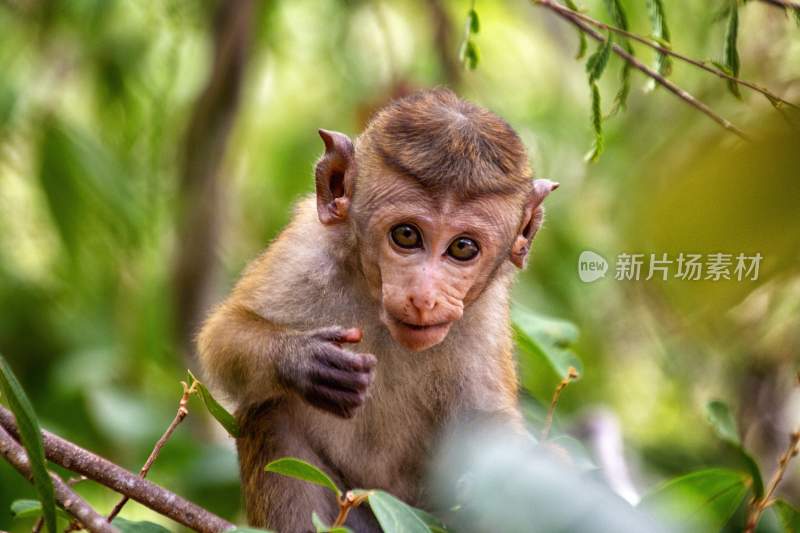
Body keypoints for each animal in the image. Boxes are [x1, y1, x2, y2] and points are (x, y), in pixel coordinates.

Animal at [195, 89, 556, 528]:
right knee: (272, 413)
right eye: (406, 235)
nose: (424, 298)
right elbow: (223, 336)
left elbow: (487, 425)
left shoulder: (485, 314)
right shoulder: (306, 250)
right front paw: (302, 360)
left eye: (462, 248)